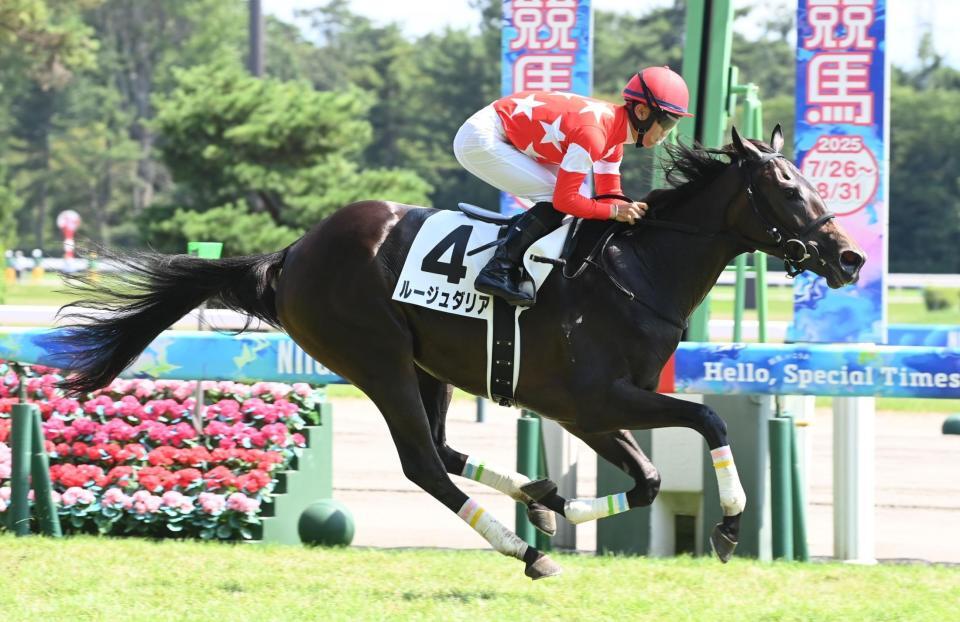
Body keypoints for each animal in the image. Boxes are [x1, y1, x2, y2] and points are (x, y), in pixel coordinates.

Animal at [53, 126, 865, 579]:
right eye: (787, 187)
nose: (851, 258)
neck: (635, 270)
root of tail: (292, 254)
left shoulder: (593, 409)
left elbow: (651, 479)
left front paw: (561, 503)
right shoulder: (595, 400)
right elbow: (708, 423)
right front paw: (727, 525)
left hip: (426, 368)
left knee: (442, 451)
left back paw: (537, 503)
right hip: (377, 361)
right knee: (422, 464)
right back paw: (526, 550)